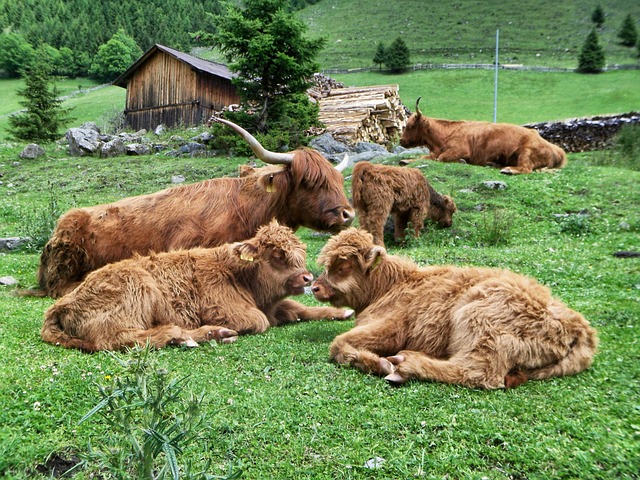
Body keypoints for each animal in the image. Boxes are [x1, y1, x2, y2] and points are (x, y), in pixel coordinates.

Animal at [40, 221, 352, 352]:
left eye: (301, 251)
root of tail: (63, 303)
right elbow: (261, 321)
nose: (307, 279)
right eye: (277, 254)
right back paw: (194, 335)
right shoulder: (229, 310)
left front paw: (341, 313)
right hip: (134, 295)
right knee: (123, 339)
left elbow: (298, 308)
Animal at [312, 229, 596, 390]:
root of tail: (578, 325)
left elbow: (339, 343)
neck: (391, 285)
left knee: (477, 373)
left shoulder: (391, 327)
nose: (314, 287)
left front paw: (378, 363)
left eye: (343, 266)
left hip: (478, 321)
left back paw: (405, 365)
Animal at [400, 97, 564, 174]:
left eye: (410, 126)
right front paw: (405, 160)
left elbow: (441, 158)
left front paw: (462, 161)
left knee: (526, 168)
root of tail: (557, 150)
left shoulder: (458, 150)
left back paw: (508, 169)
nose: (401, 141)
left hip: (526, 151)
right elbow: (423, 157)